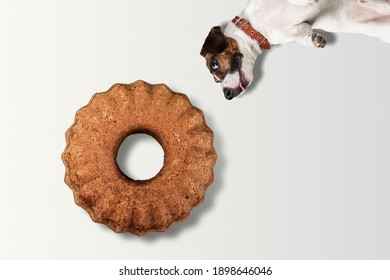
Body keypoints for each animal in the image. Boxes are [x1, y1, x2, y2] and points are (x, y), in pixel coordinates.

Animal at [201, 0, 390, 100]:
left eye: (215, 64)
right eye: (216, 80)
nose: (226, 95)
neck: (256, 25)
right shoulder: (294, 31)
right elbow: (305, 35)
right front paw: (315, 39)